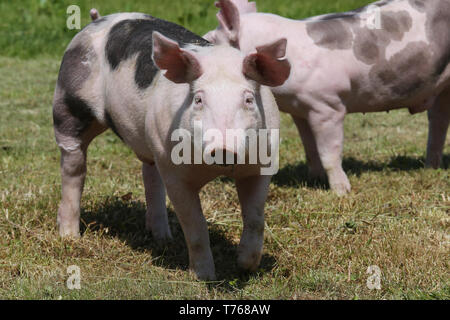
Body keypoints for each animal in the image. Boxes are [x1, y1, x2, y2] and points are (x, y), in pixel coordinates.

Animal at [53, 13, 292, 280]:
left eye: (249, 99)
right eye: (198, 99)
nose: (223, 148)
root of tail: (96, 20)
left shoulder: (261, 165)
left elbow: (256, 218)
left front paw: (245, 266)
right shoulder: (175, 173)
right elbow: (195, 225)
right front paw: (204, 276)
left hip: (150, 141)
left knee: (150, 174)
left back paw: (162, 239)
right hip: (68, 101)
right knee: (73, 168)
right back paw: (70, 237)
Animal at [205, 0, 450, 195]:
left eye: (210, 40)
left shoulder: (327, 106)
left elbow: (328, 152)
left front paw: (341, 192)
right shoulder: (300, 111)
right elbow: (310, 148)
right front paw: (314, 179)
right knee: (438, 122)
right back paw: (429, 169)